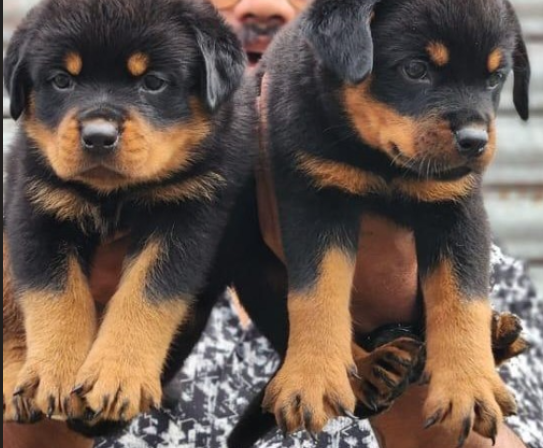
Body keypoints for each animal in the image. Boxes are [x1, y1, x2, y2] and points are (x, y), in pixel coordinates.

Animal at [1, 0, 253, 424]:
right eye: (62, 81)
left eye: (152, 82)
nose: (98, 136)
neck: (114, 195)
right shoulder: (36, 204)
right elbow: (56, 296)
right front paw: (55, 374)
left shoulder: (189, 215)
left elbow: (146, 294)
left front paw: (118, 376)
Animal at [233, 0, 532, 444]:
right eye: (415, 69)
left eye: (495, 78)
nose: (476, 141)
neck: (382, 163)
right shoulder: (313, 195)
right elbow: (316, 292)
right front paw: (313, 377)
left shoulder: (457, 207)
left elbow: (462, 296)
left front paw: (467, 384)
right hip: (254, 269)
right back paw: (371, 372)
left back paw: (495, 338)